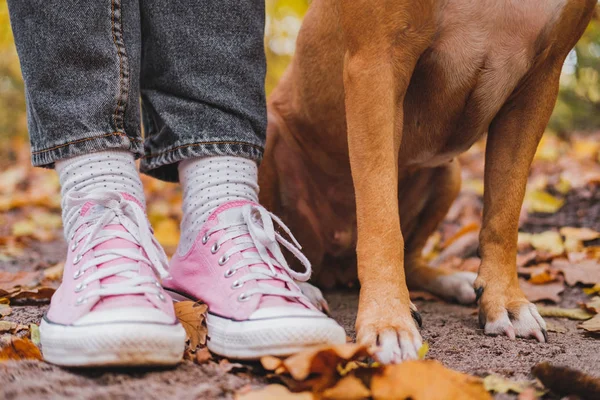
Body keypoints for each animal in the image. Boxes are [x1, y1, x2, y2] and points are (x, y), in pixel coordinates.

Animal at [256, 0, 596, 362]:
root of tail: (337, 265)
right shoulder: (377, 64)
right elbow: (381, 222)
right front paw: (388, 319)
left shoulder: (541, 79)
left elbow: (504, 215)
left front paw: (505, 300)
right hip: (269, 128)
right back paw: (298, 289)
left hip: (451, 173)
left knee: (413, 259)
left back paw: (455, 282)